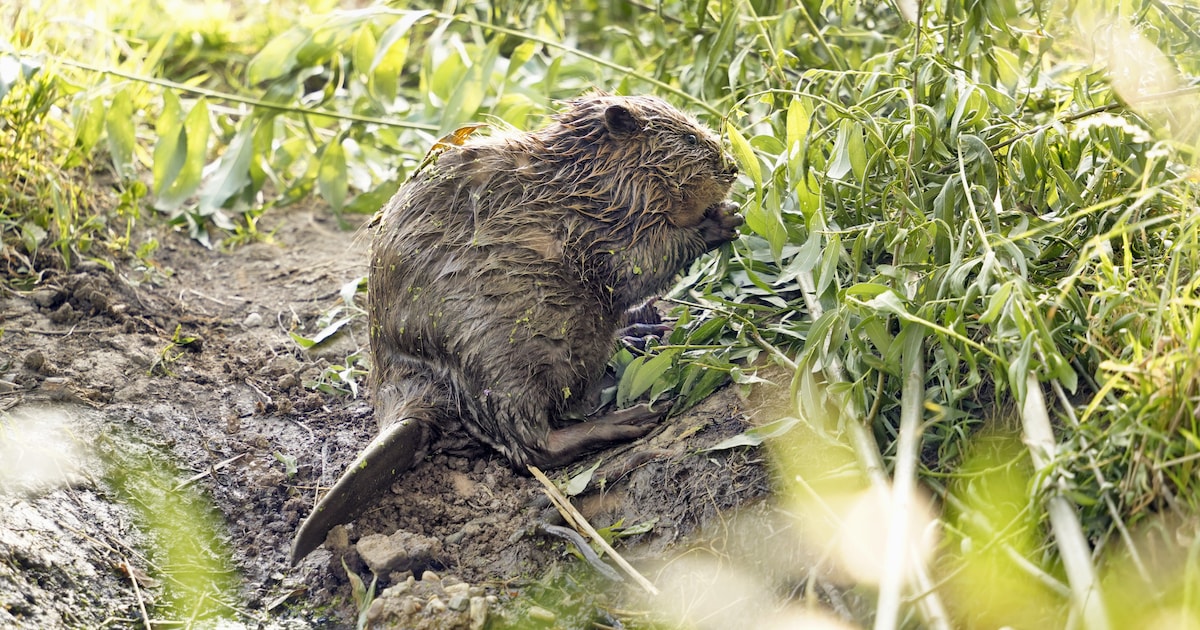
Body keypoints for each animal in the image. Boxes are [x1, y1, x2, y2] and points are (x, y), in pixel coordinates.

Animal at [290, 92, 739, 559]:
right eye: (690, 138)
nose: (732, 166)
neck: (583, 181)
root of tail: (406, 407)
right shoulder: (591, 227)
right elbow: (637, 262)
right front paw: (722, 220)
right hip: (499, 358)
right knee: (530, 446)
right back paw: (635, 415)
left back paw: (639, 336)